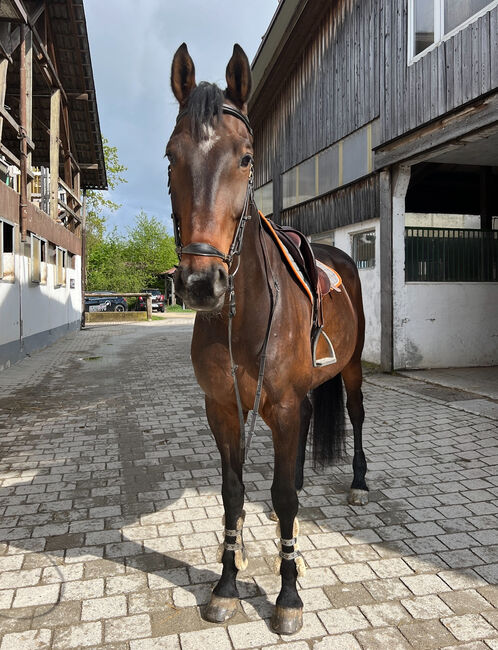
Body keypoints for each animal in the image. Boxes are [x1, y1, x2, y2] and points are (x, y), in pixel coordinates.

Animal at [167, 41, 366, 632]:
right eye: (170, 156)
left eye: (246, 158)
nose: (200, 284)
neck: (244, 316)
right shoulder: (223, 407)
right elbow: (234, 493)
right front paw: (227, 583)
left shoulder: (280, 403)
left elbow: (279, 499)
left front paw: (289, 594)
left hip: (351, 369)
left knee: (355, 414)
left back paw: (359, 483)